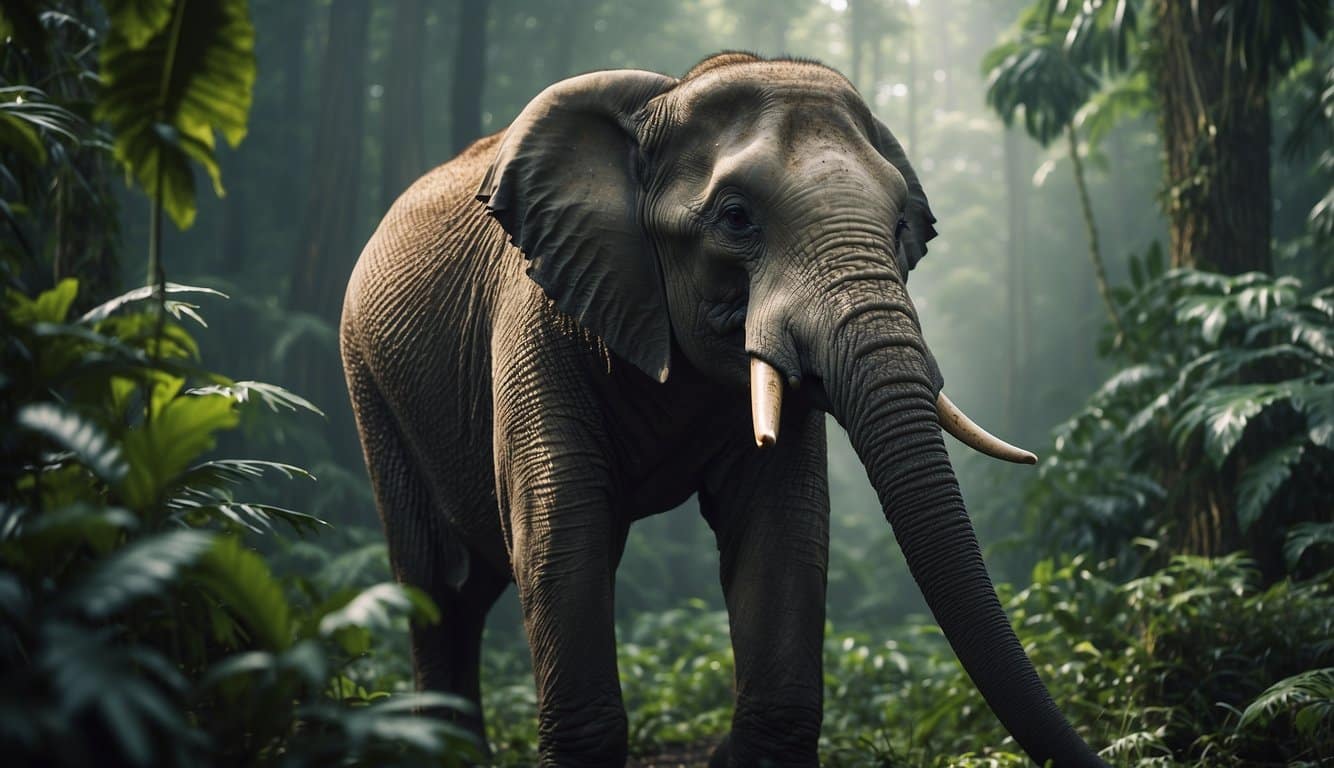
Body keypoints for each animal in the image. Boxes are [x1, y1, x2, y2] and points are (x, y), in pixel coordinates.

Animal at [340, 52, 1107, 767]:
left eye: (899, 227)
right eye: (737, 219)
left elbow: (782, 526)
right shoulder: (537, 320)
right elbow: (562, 526)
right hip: (368, 383)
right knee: (436, 586)